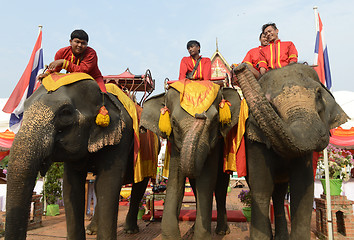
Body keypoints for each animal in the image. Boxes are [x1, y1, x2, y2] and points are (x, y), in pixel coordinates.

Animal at [4, 76, 153, 240]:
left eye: (66, 113)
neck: (103, 95)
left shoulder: (121, 137)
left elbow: (108, 183)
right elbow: (71, 187)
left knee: (138, 187)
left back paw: (130, 230)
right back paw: (91, 230)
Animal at [140, 81, 242, 240]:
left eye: (215, 120)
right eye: (174, 122)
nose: (201, 115)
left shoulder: (215, 145)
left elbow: (206, 180)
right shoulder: (175, 145)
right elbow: (175, 182)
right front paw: (171, 237)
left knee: (220, 187)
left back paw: (222, 231)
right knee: (195, 186)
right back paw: (194, 229)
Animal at [232, 63, 348, 240]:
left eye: (318, 95)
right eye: (271, 104)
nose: (239, 67)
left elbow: (302, 187)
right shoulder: (254, 140)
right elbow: (262, 187)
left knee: (279, 194)